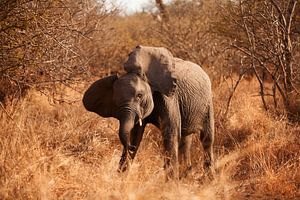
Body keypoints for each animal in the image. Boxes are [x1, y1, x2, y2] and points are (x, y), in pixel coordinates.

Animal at [82, 45, 213, 180]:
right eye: (116, 101)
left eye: (139, 96)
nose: (129, 147)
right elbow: (136, 135)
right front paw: (121, 177)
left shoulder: (170, 97)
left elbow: (171, 134)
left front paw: (171, 182)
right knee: (185, 139)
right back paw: (186, 176)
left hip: (208, 102)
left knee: (206, 139)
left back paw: (207, 179)